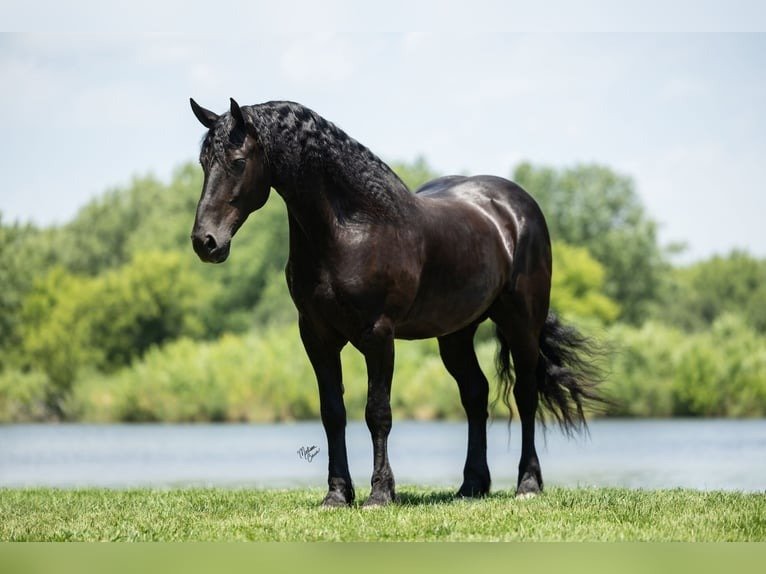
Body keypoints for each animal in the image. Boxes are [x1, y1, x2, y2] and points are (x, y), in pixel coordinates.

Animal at [189, 97, 606, 507]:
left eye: (238, 161)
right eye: (203, 163)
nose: (205, 242)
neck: (353, 227)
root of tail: (516, 207)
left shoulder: (378, 335)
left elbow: (378, 412)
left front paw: (379, 493)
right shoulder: (316, 336)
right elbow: (332, 412)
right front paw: (337, 494)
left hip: (521, 323)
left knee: (525, 394)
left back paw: (528, 484)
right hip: (455, 334)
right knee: (475, 394)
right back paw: (471, 485)